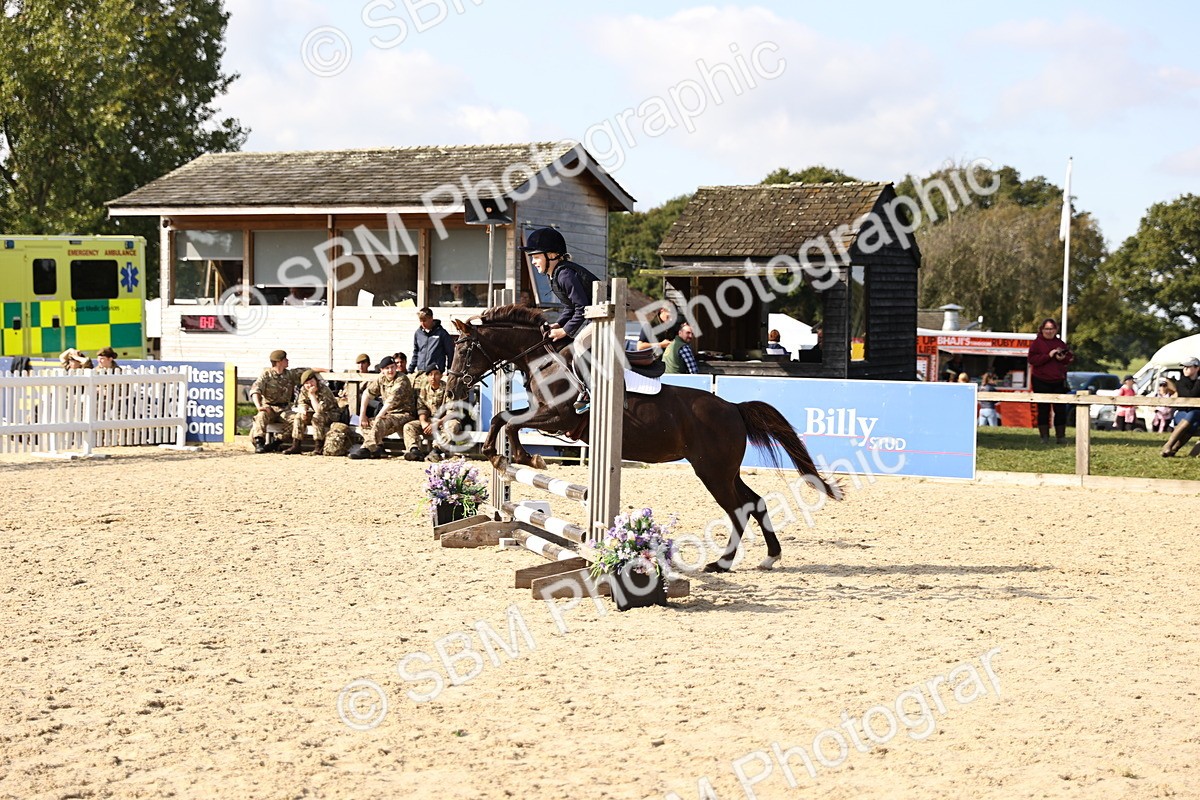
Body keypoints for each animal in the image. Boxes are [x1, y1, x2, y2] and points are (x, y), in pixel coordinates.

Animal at [444, 304, 842, 572]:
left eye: (463, 348)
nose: (450, 390)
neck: (543, 359)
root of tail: (733, 407)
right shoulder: (544, 415)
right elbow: (503, 419)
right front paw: (507, 456)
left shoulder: (558, 418)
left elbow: (506, 421)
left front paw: (517, 457)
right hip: (724, 471)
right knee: (754, 503)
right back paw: (770, 557)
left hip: (712, 471)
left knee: (738, 510)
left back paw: (722, 563)